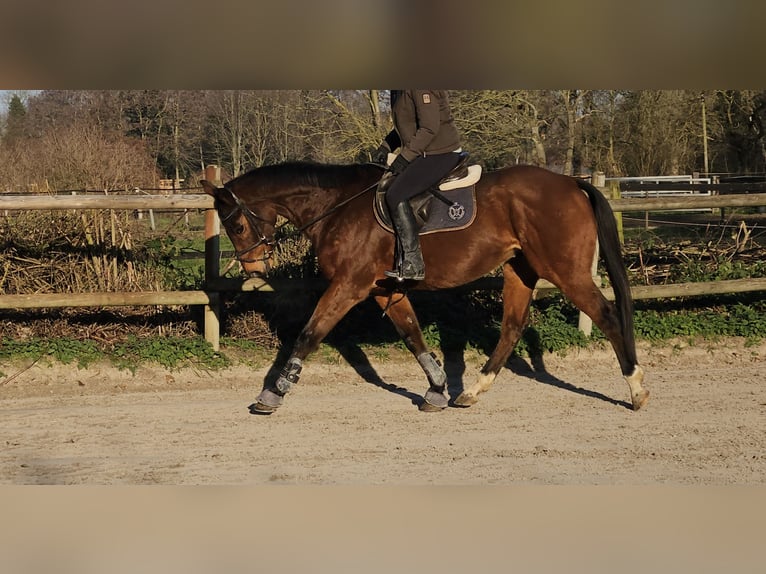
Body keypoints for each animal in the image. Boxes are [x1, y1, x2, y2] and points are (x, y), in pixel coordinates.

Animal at [201, 160, 648, 415]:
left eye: (236, 225)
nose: (253, 267)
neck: (339, 206)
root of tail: (571, 183)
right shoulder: (383, 288)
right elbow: (413, 335)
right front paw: (436, 390)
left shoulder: (349, 284)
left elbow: (309, 334)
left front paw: (273, 394)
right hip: (519, 269)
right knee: (511, 328)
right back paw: (472, 392)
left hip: (564, 270)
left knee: (607, 316)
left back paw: (636, 390)